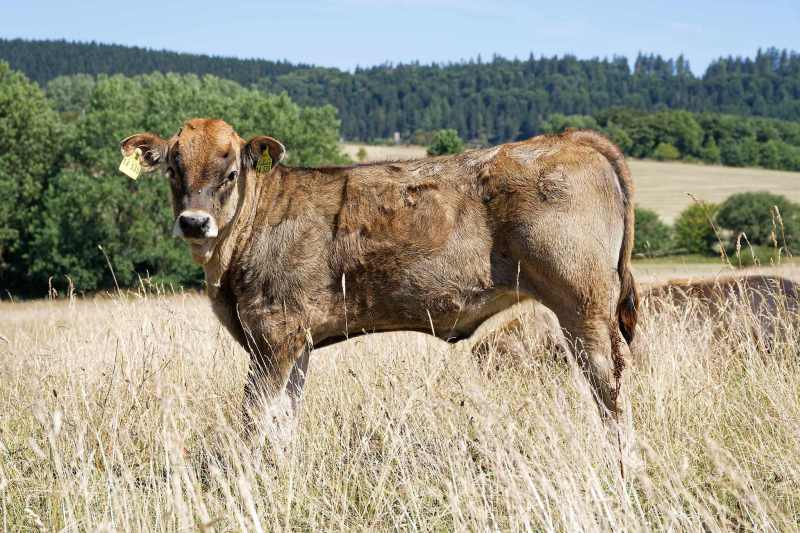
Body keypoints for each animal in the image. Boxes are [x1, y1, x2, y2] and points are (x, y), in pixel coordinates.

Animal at [120, 119, 638, 444]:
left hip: (584, 307)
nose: (194, 222)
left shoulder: (272, 334)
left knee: (610, 390)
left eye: (231, 173)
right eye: (172, 169)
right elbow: (284, 420)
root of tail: (571, 139)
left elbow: (254, 420)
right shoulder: (298, 340)